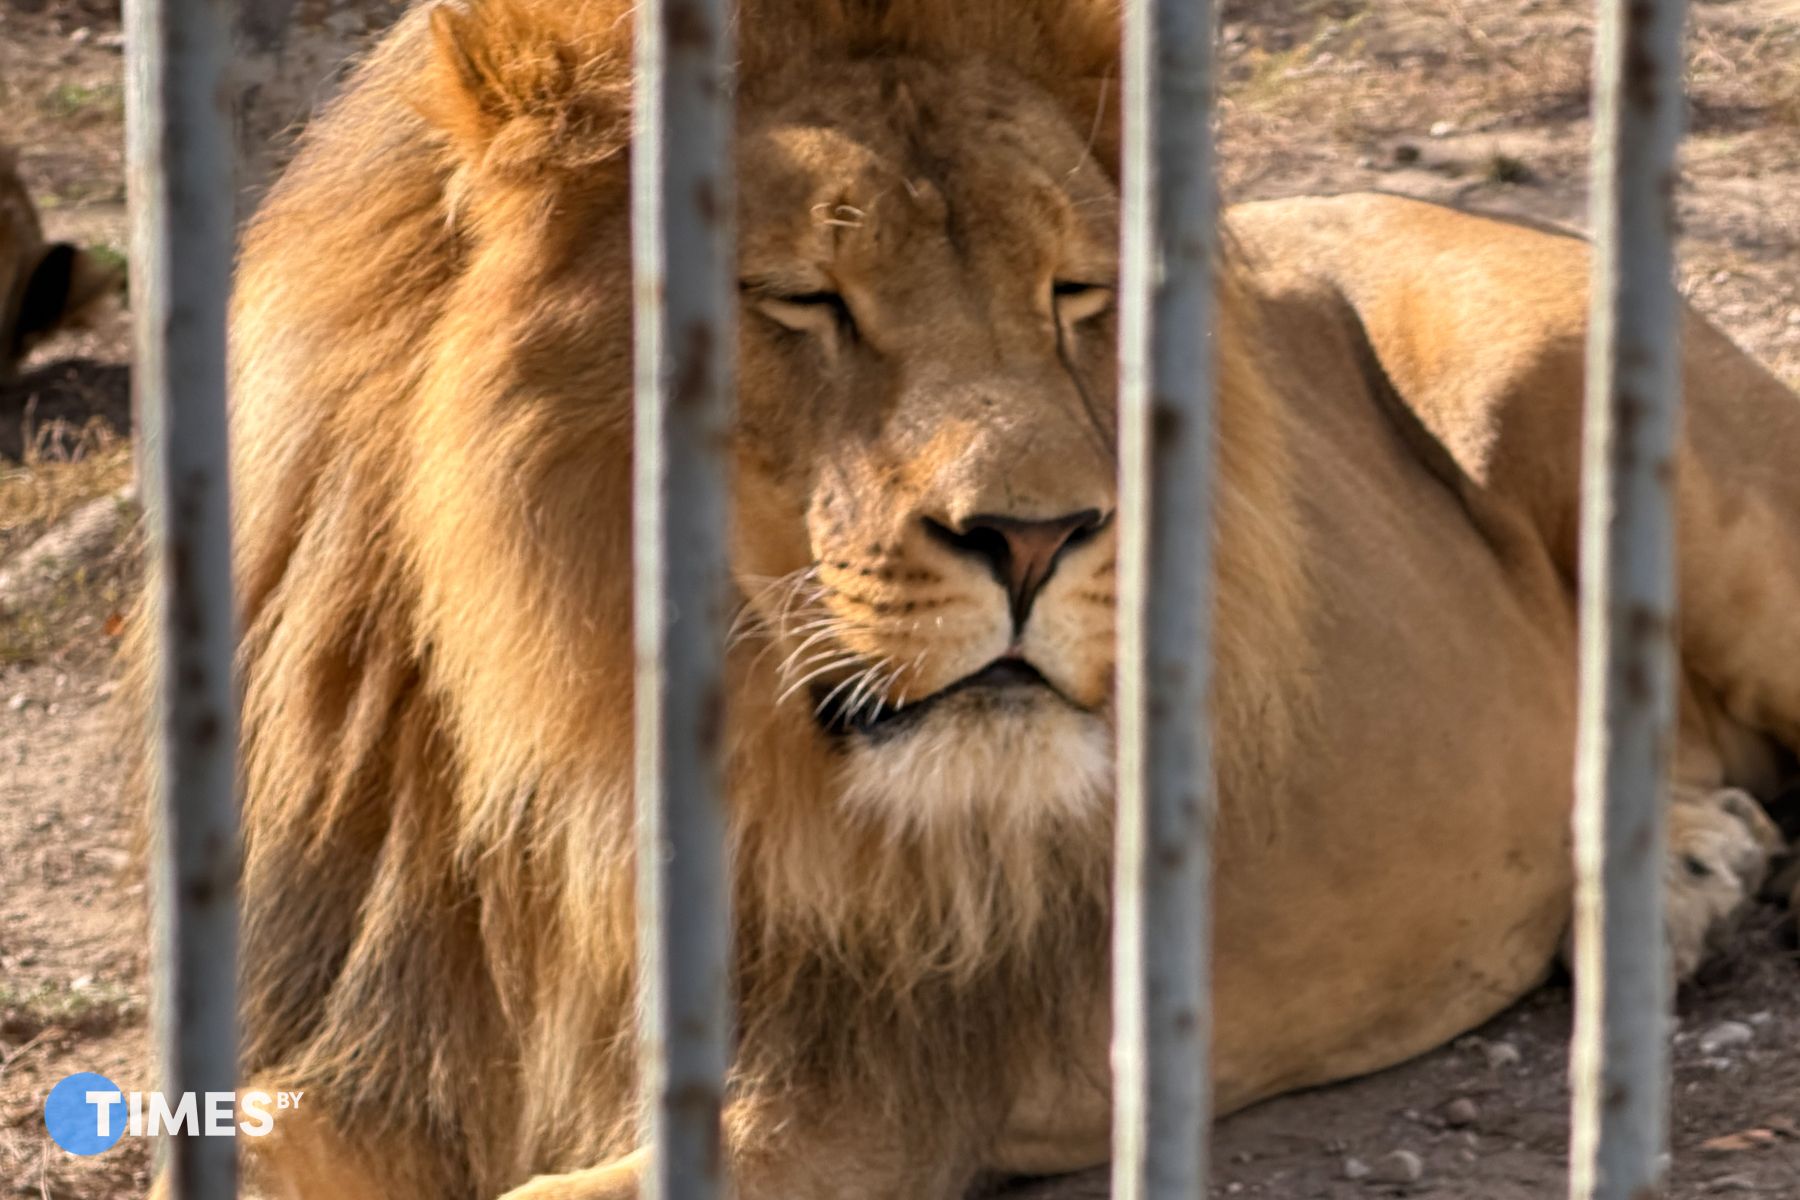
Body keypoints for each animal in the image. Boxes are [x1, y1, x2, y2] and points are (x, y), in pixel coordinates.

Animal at [162, 1, 1800, 1197]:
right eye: (802, 299)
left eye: (1075, 294)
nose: (1041, 535)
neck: (568, 744)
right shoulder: (369, 1047)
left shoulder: (840, 1111)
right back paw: (1685, 872)